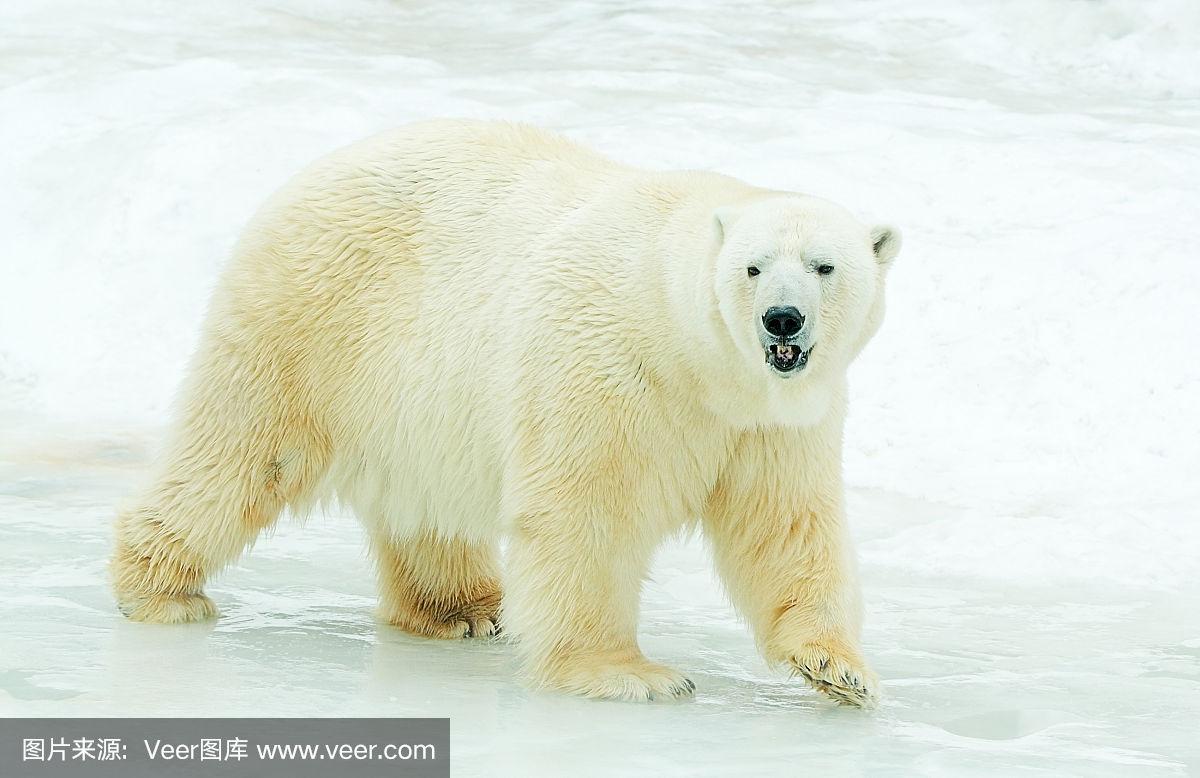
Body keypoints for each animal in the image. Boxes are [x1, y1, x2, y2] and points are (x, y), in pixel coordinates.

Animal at [112, 118, 902, 705]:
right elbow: (589, 511)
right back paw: (160, 588)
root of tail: (307, 173)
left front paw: (839, 669)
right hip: (310, 321)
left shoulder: (773, 422)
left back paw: (463, 608)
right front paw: (628, 673)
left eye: (825, 266)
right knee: (246, 450)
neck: (693, 355)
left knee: (421, 501)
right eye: (752, 266)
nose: (781, 320)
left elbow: (787, 525)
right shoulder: (607, 366)